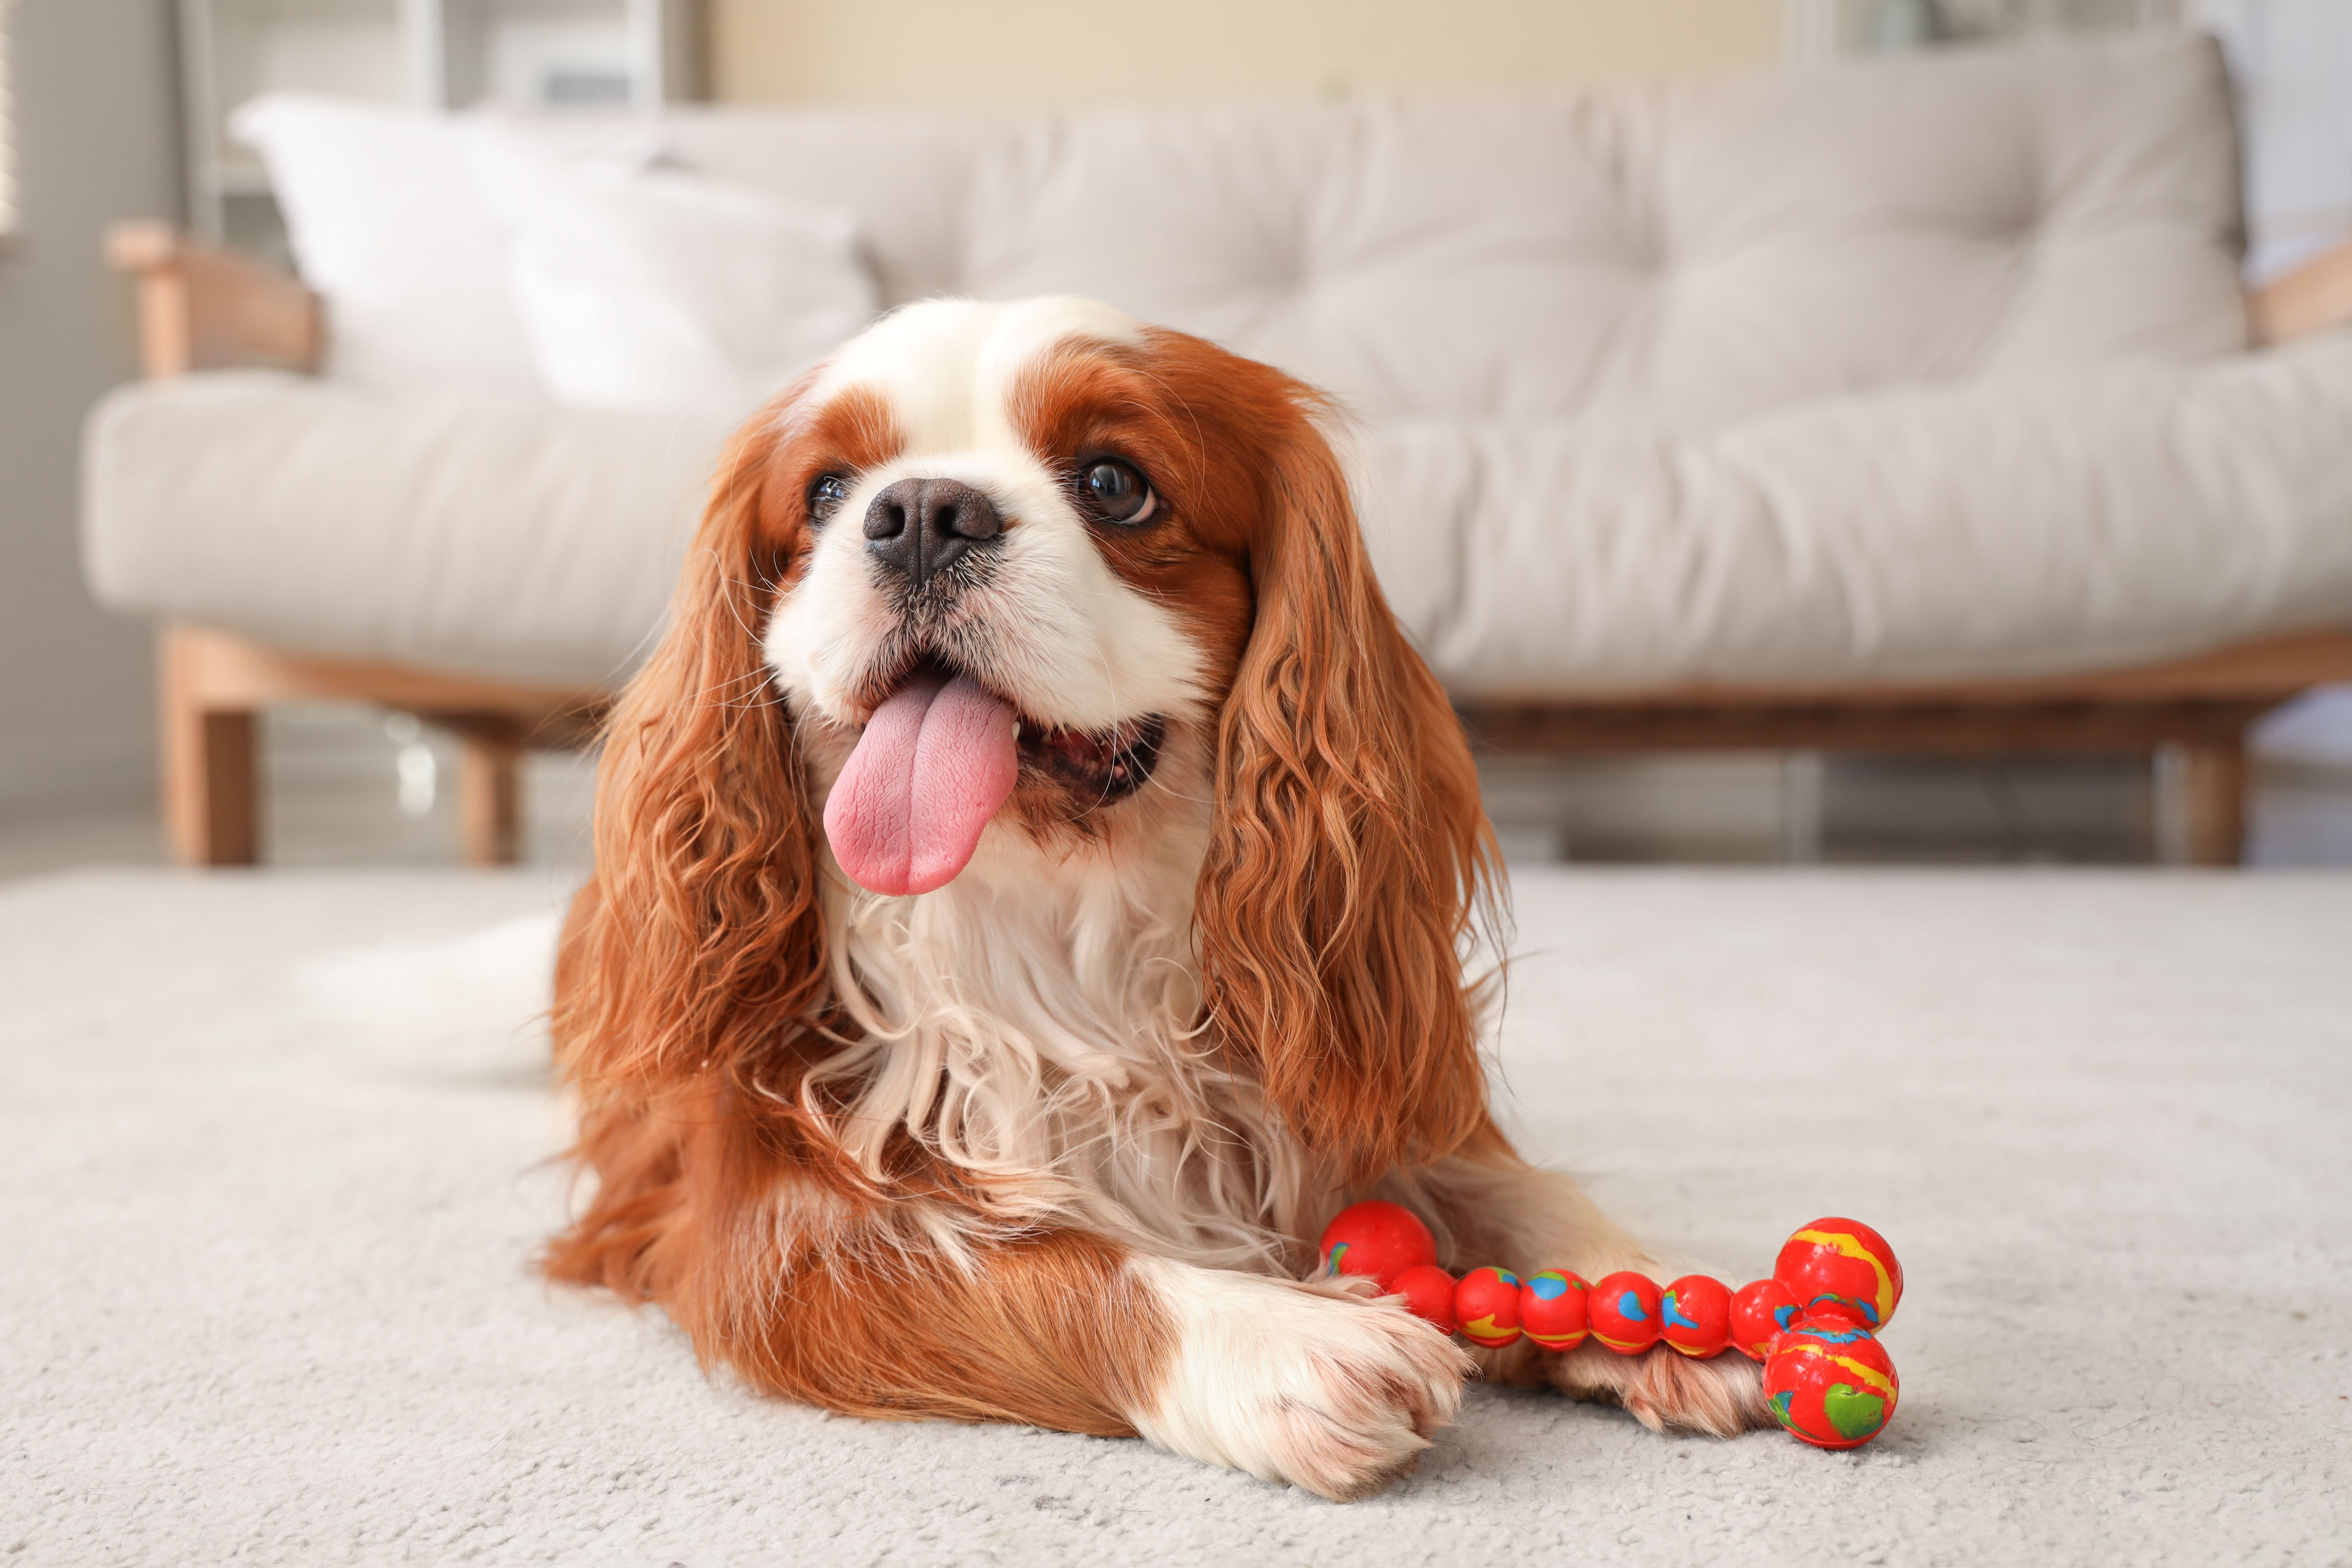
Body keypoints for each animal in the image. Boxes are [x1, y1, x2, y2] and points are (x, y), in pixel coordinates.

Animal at [550, 294, 1768, 1495]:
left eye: (1112, 484)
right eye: (826, 493)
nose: (921, 511)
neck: (1060, 921)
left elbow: (1518, 1189)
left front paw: (1646, 1298)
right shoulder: (771, 1237)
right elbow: (1031, 1263)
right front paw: (1285, 1337)